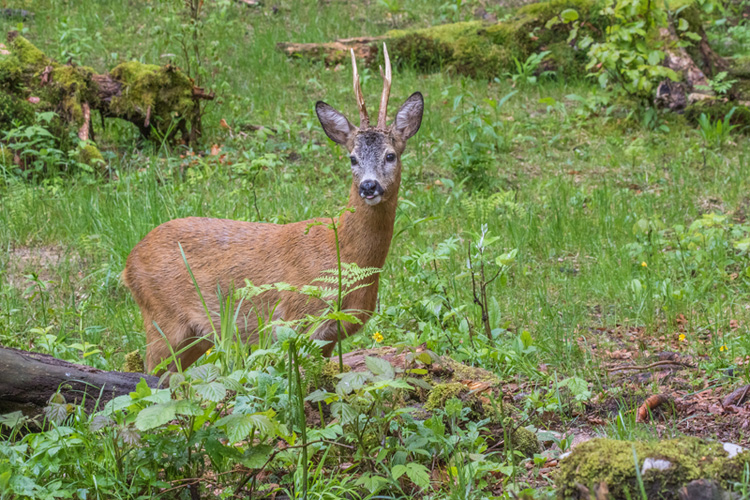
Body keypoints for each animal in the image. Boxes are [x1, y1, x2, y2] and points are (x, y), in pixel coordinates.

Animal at [123, 46, 424, 372]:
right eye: (353, 158)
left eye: (390, 155)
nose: (369, 186)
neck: (343, 251)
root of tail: (128, 264)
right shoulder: (297, 318)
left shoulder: (330, 337)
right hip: (163, 319)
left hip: (195, 335)